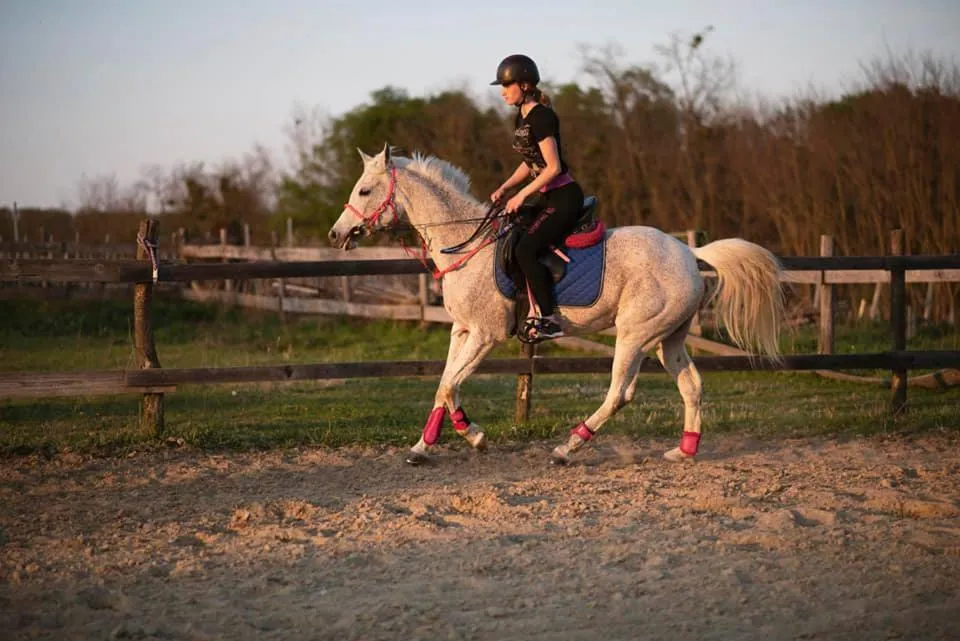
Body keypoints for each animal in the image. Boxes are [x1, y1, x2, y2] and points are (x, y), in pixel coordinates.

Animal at [327, 144, 785, 465]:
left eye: (364, 190)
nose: (336, 234)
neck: (467, 243)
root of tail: (690, 253)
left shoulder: (486, 334)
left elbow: (449, 384)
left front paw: (469, 436)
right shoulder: (463, 330)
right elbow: (445, 387)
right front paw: (432, 444)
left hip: (635, 335)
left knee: (620, 392)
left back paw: (568, 448)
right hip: (666, 338)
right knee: (691, 385)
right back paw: (684, 450)